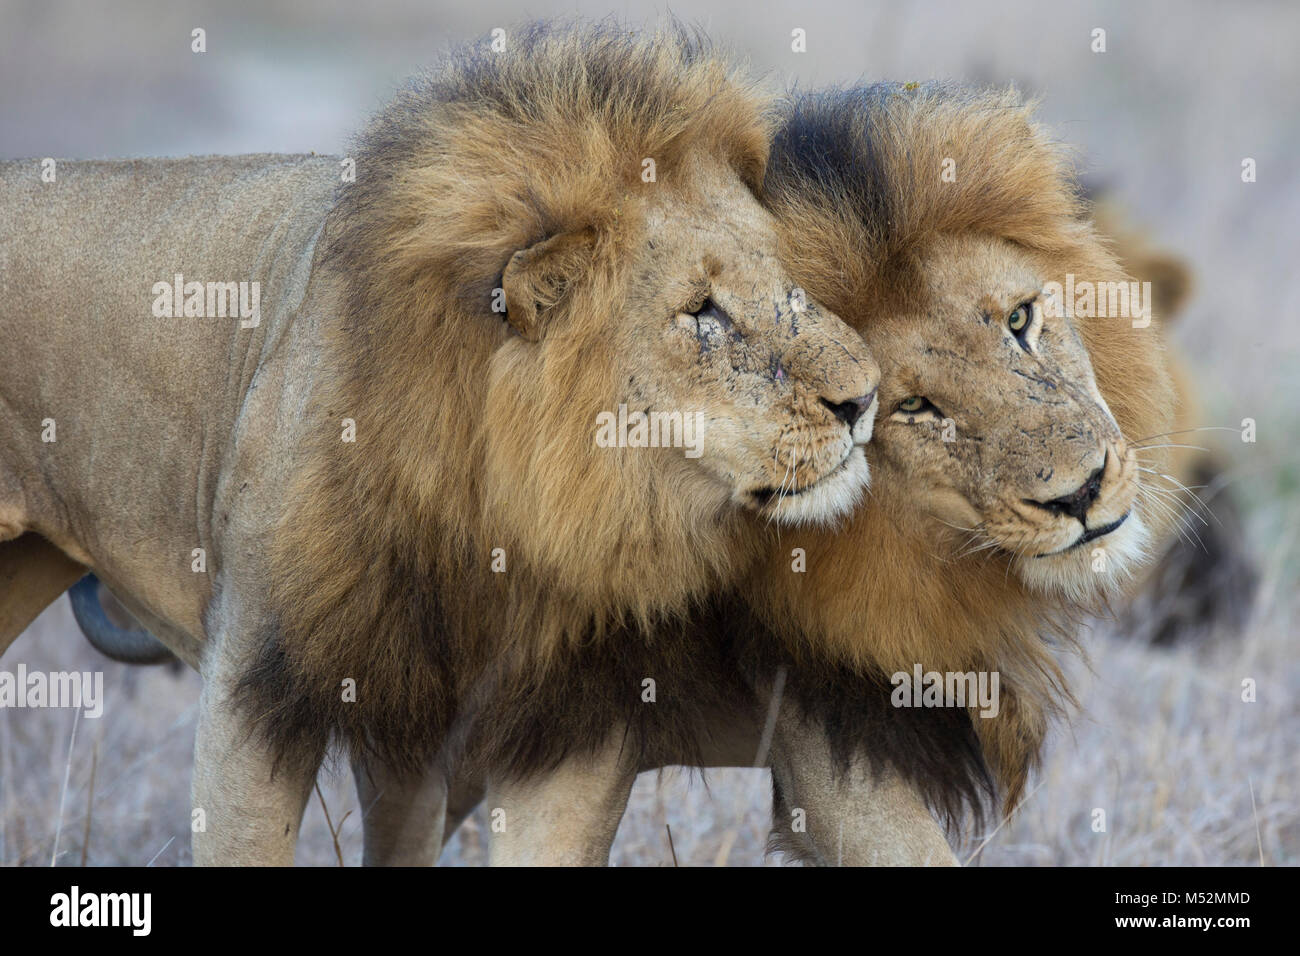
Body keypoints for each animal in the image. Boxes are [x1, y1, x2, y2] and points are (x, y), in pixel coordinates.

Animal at [0, 26, 883, 868]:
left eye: (790, 276)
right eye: (701, 311)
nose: (866, 396)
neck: (490, 508)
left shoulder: (558, 728)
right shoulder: (256, 689)